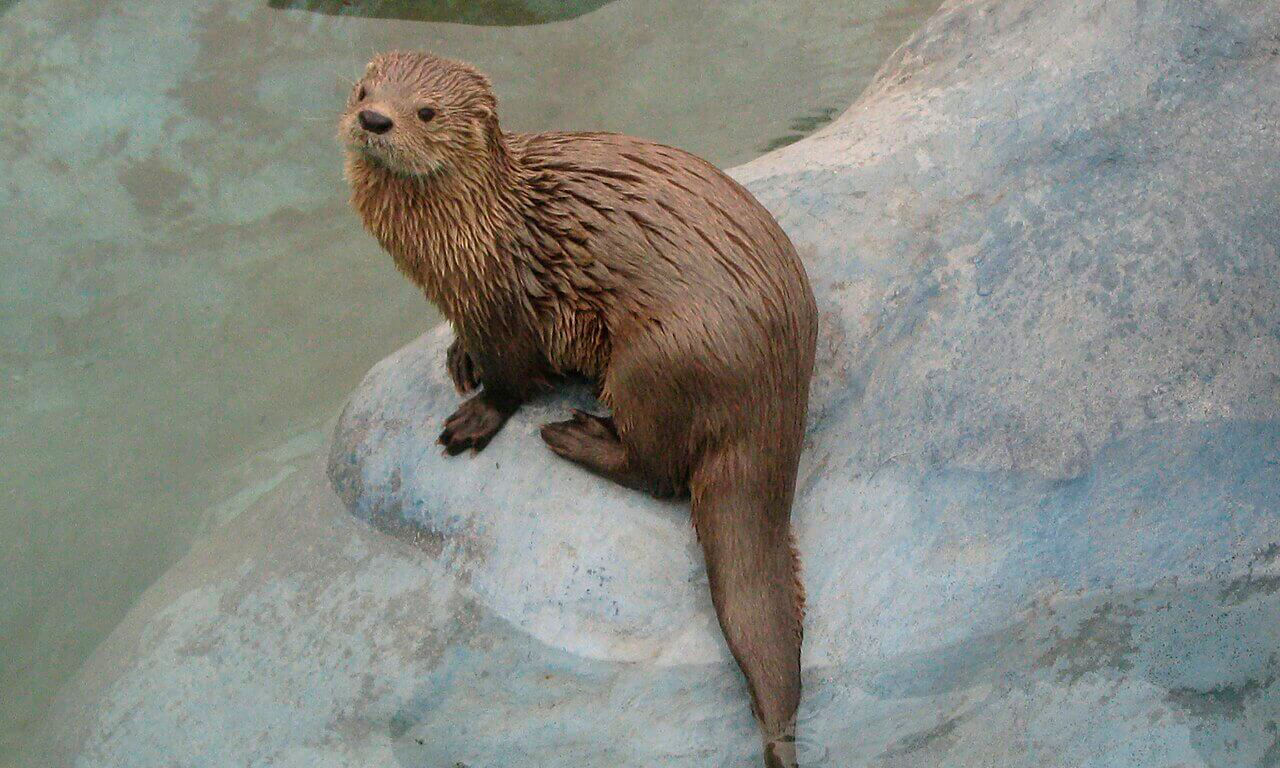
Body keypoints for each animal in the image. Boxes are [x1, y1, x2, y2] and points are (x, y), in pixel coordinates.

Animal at [340, 51, 817, 768]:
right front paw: (458, 355)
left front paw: (475, 417)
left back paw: (573, 437)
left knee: (658, 472)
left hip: (656, 360)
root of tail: (776, 383)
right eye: (364, 90)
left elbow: (513, 377)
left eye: (425, 111)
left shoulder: (504, 304)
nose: (374, 119)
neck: (467, 234)